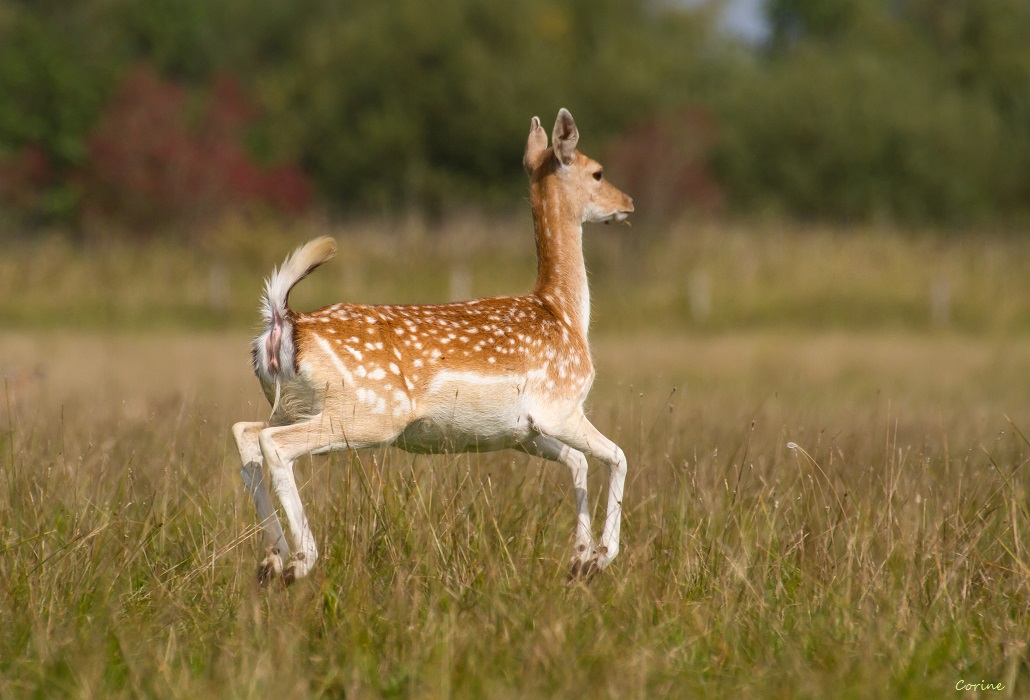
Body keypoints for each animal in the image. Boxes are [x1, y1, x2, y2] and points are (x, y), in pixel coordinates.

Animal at [231, 108, 634, 585]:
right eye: (598, 172)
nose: (628, 203)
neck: (564, 313)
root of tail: (283, 322)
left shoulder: (522, 431)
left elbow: (577, 463)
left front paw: (579, 559)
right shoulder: (560, 405)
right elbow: (616, 457)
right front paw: (603, 555)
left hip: (293, 403)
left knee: (246, 435)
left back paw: (271, 559)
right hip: (368, 413)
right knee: (274, 444)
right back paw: (300, 560)